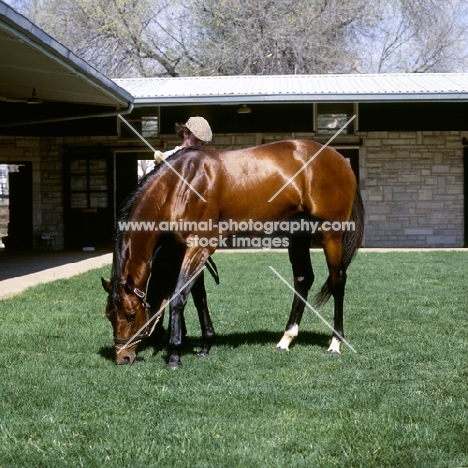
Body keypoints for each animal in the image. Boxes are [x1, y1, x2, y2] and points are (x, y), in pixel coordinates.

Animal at [102, 140, 366, 370]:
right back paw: (286, 339)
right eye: (109, 316)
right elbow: (199, 297)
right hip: (298, 235)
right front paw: (205, 346)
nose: (123, 357)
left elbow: (180, 297)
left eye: (131, 315)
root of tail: (338, 158)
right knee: (303, 279)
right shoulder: (190, 248)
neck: (181, 184)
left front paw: (175, 356)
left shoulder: (199, 245)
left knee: (338, 281)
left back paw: (335, 343)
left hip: (331, 234)